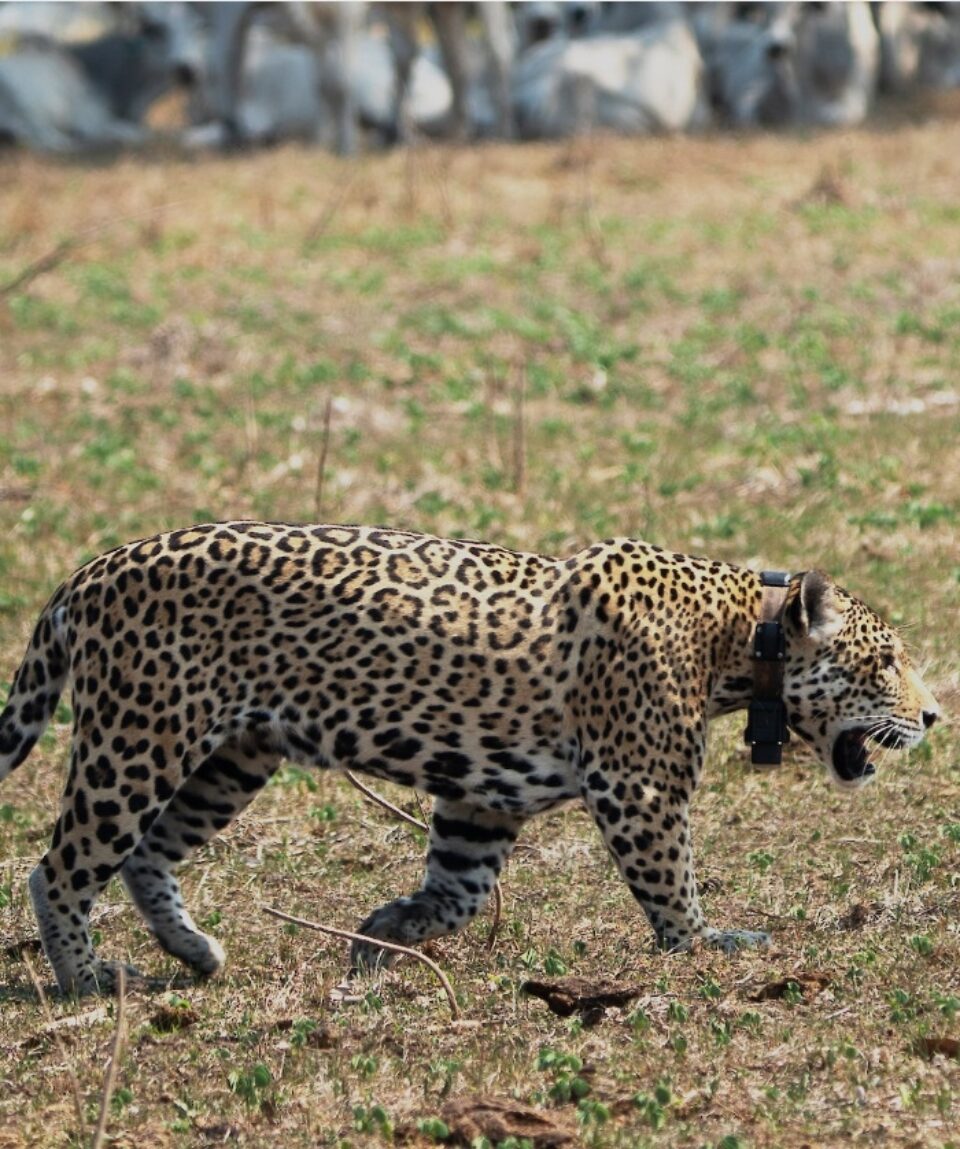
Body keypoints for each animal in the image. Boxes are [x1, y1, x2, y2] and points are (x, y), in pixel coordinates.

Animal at [0, 521, 940, 995]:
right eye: (887, 659)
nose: (933, 714)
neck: (742, 634)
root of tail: (88, 571)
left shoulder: (484, 799)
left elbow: (458, 892)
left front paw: (382, 934)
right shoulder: (638, 786)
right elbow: (671, 878)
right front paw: (704, 943)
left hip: (229, 755)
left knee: (146, 853)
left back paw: (194, 951)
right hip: (139, 739)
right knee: (60, 867)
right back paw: (87, 977)